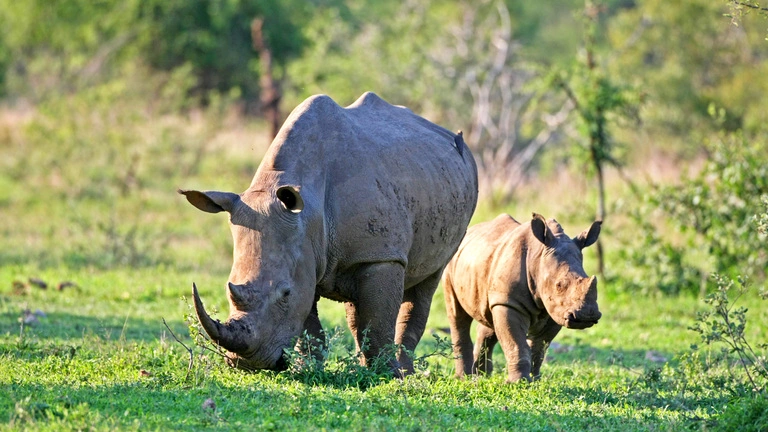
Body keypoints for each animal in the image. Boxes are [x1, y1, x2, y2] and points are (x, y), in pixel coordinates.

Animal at [180, 92, 478, 375]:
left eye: (284, 294)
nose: (247, 364)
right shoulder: (305, 254)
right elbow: (309, 325)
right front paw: (307, 369)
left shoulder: (381, 254)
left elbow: (378, 319)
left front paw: (388, 376)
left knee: (428, 279)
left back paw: (402, 371)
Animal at [442, 213, 602, 382]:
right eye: (559, 285)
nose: (586, 315)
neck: (538, 257)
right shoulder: (511, 303)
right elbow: (516, 343)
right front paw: (519, 382)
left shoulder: (556, 310)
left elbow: (539, 347)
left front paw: (535, 380)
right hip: (451, 261)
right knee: (457, 316)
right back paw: (464, 377)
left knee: (490, 319)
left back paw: (482, 376)